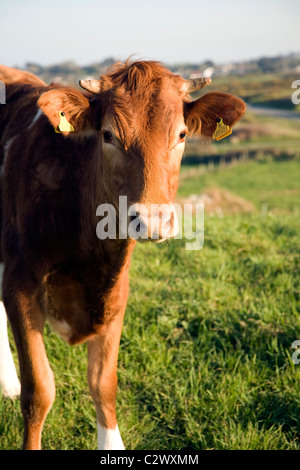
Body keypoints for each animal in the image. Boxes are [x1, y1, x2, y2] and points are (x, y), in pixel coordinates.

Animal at [0, 60, 246, 450]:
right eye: (108, 135)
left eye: (181, 135)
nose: (153, 220)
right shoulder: (19, 284)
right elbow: (38, 390)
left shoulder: (117, 292)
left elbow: (104, 384)